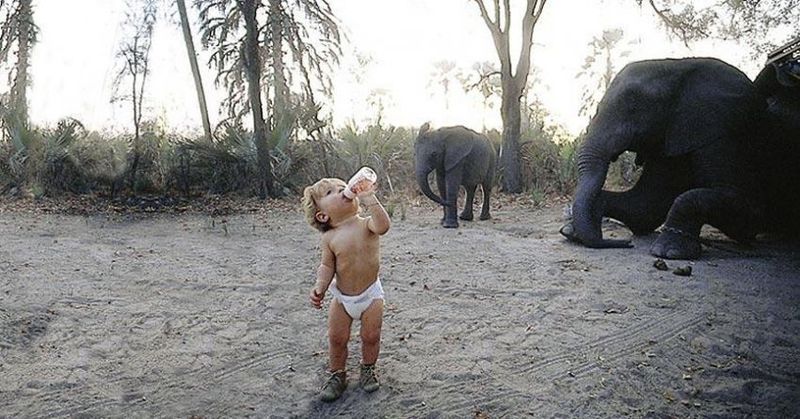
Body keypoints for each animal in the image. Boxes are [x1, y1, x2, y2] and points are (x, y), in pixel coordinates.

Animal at [560, 45, 800, 259]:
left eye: (633, 109)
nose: (624, 243)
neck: (679, 67)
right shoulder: (672, 135)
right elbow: (644, 206)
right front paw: (573, 230)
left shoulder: (721, 132)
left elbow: (748, 212)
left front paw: (669, 252)